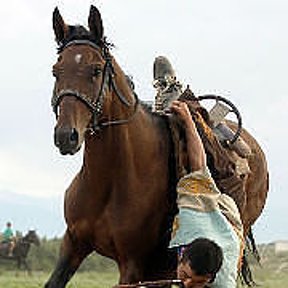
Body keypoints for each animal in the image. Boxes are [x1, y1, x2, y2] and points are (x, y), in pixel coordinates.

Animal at [45, 5, 268, 288]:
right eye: (56, 71)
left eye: (95, 70)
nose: (66, 136)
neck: (111, 179)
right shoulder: (73, 243)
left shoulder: (132, 264)